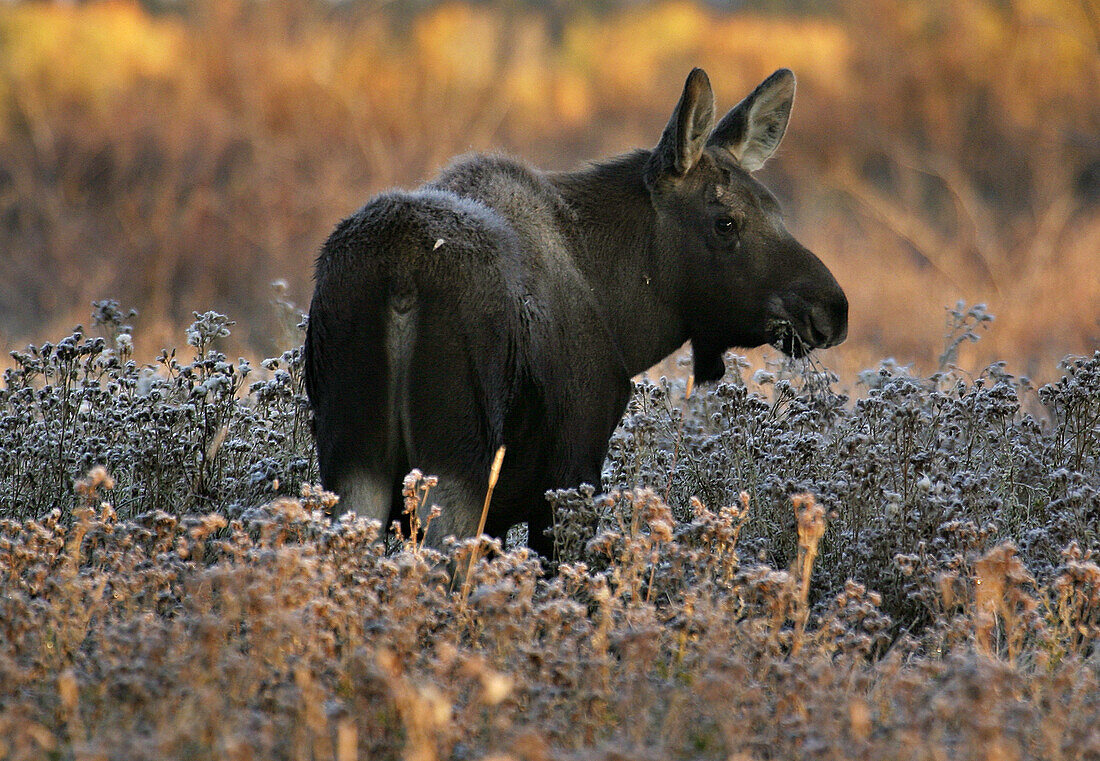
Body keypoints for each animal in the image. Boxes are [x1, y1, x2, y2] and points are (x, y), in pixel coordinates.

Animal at [305, 68, 844, 556]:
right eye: (726, 221)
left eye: (776, 209)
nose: (831, 309)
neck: (624, 317)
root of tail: (400, 275)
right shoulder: (573, 465)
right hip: (457, 459)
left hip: (353, 458)